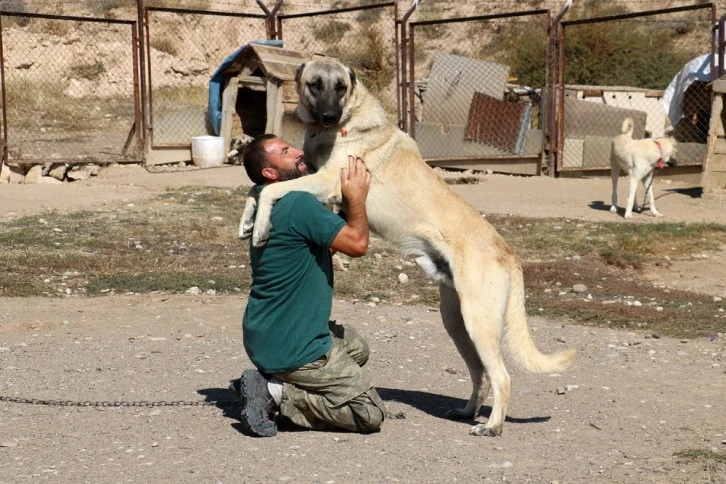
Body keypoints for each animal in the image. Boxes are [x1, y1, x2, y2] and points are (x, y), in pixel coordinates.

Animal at [242, 58, 576, 436]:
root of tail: (508, 251)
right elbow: (258, 192)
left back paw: (491, 426)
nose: (329, 115)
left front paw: (261, 227)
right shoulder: (319, 183)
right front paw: (247, 221)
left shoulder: (327, 181)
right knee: (481, 374)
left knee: (501, 377)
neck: (345, 122)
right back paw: (468, 412)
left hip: (479, 321)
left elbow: (271, 190)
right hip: (457, 322)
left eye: (341, 87)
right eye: (315, 84)